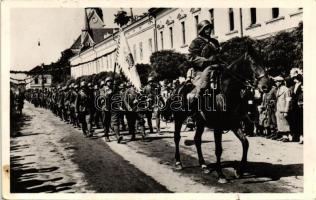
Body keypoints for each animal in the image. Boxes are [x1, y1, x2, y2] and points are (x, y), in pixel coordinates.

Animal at [169, 50, 270, 183]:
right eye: (253, 63)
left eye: (263, 61)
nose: (266, 86)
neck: (226, 93)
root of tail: (177, 88)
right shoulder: (217, 128)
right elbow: (218, 149)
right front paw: (221, 175)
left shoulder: (234, 124)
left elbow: (245, 143)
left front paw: (239, 171)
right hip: (179, 118)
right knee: (177, 137)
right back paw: (178, 162)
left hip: (200, 123)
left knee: (197, 139)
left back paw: (203, 165)